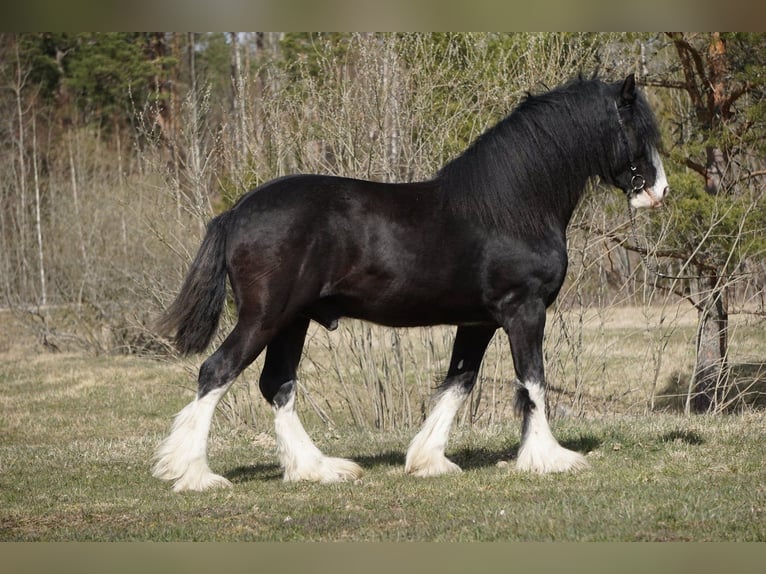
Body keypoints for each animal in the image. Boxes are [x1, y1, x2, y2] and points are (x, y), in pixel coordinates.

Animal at [153, 74, 668, 492]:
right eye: (636, 130)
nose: (658, 192)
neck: (514, 207)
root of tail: (235, 212)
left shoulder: (479, 321)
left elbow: (460, 381)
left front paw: (428, 459)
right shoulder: (524, 310)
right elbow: (533, 380)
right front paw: (548, 457)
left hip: (291, 321)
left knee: (277, 384)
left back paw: (317, 468)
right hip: (265, 316)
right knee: (216, 372)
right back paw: (195, 473)